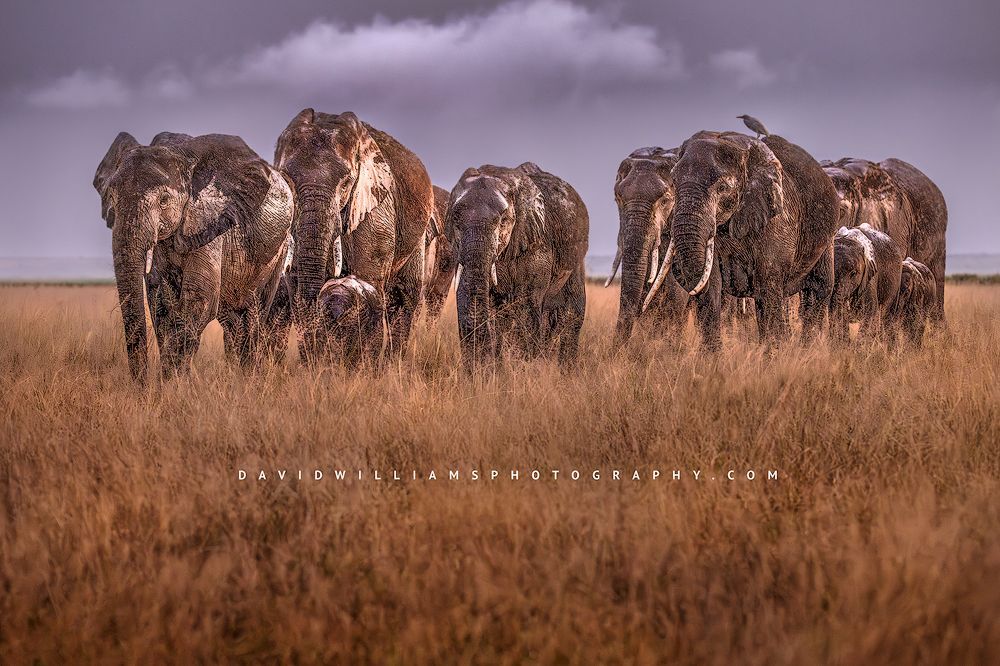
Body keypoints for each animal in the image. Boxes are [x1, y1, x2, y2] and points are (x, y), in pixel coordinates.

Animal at [93, 131, 293, 383]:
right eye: (111, 197)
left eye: (164, 200)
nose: (142, 386)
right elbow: (160, 300)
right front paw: (170, 381)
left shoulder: (208, 220)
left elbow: (199, 296)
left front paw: (175, 383)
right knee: (233, 320)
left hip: (280, 248)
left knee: (254, 313)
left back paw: (249, 378)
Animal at [274, 109, 432, 360]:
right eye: (286, 179)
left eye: (346, 182)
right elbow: (296, 282)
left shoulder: (377, 209)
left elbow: (366, 277)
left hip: (418, 236)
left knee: (404, 298)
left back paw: (392, 363)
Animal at [444, 162, 589, 368]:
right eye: (455, 219)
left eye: (502, 220)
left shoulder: (537, 244)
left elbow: (526, 304)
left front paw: (525, 370)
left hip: (576, 257)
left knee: (571, 313)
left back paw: (564, 369)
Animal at [643, 131, 839, 348]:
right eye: (674, 183)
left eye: (722, 187)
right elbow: (712, 286)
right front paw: (712, 356)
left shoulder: (778, 220)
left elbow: (767, 286)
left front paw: (775, 354)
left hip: (827, 239)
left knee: (819, 289)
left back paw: (808, 349)